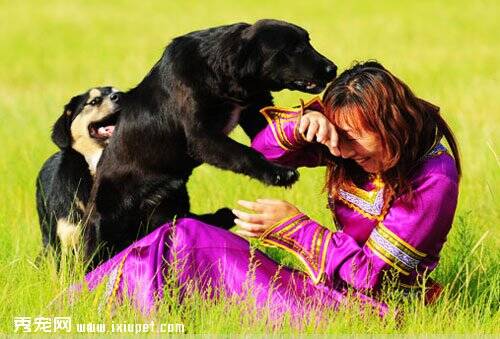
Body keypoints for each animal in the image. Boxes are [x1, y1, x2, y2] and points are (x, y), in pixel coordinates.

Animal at [84, 19, 338, 266]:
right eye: (294, 49)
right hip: (103, 228)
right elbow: (244, 153)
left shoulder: (255, 111)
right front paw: (279, 174)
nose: (332, 69)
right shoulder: (202, 137)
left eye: (307, 42)